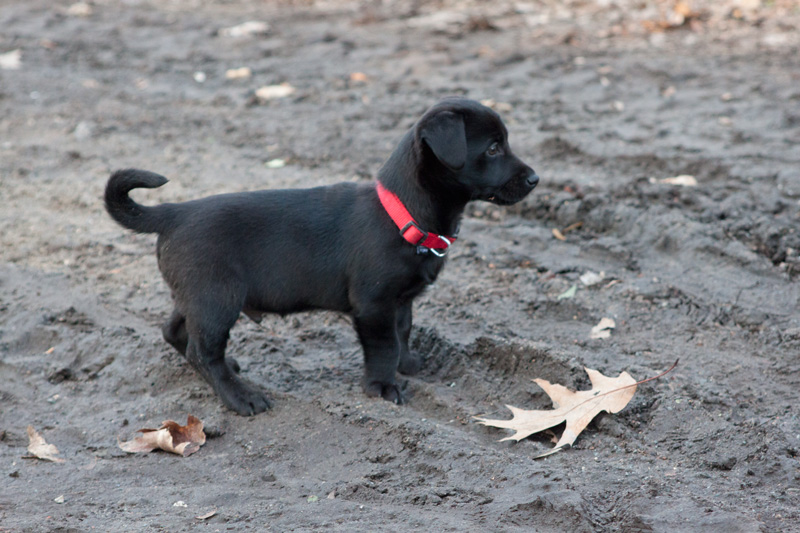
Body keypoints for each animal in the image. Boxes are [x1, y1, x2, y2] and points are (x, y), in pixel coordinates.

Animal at [104, 100, 536, 416]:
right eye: (493, 148)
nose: (535, 179)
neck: (405, 213)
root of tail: (173, 212)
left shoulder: (401, 301)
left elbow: (403, 332)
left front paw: (408, 363)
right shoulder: (373, 305)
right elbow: (383, 347)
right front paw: (383, 386)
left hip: (197, 295)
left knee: (175, 331)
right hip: (217, 299)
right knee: (203, 351)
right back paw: (241, 397)